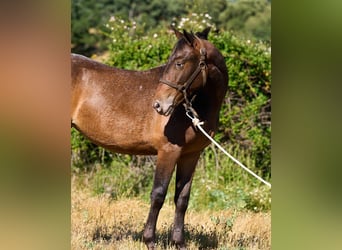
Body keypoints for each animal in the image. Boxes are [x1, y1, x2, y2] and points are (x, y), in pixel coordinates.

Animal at [71, 28, 228, 249]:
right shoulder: (168, 152)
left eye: (179, 63)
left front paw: (179, 242)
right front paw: (149, 240)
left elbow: (182, 198)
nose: (159, 105)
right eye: (172, 61)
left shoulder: (190, 155)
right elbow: (158, 195)